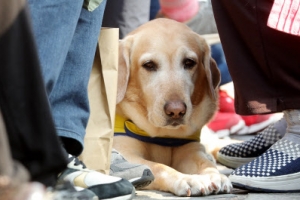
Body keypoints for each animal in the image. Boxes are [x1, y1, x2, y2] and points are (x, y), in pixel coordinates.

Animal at [113, 18, 232, 197]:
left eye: (189, 62)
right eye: (149, 65)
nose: (176, 111)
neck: (164, 136)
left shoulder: (189, 151)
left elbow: (204, 163)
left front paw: (214, 174)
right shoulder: (125, 152)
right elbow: (159, 167)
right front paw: (187, 179)